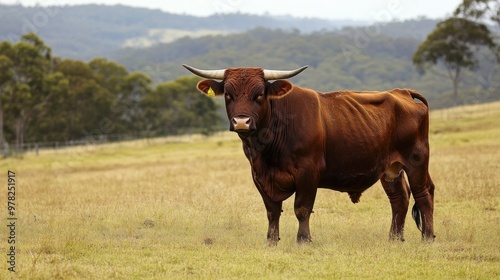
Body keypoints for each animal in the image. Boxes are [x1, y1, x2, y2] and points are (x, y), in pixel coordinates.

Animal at [183, 64, 434, 244]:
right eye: (228, 94)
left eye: (260, 94)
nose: (242, 121)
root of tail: (402, 92)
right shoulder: (259, 177)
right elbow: (272, 211)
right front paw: (271, 241)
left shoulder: (308, 173)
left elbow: (302, 209)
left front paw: (303, 239)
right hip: (390, 169)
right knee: (399, 198)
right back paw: (394, 238)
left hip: (416, 161)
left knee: (424, 194)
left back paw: (427, 237)